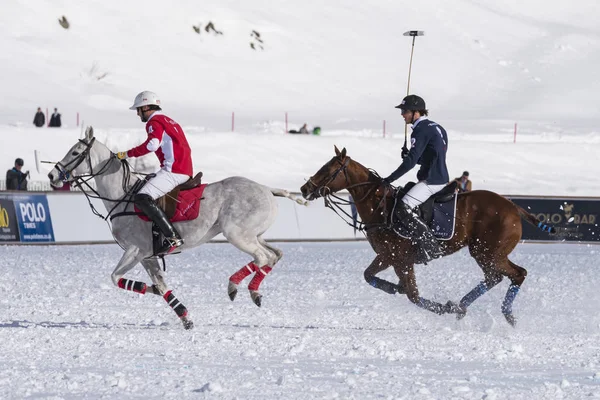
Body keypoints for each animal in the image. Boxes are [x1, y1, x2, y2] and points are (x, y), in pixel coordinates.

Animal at [48, 126, 304, 330]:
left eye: (75, 152)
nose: (52, 175)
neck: (122, 197)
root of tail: (267, 189)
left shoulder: (134, 249)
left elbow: (115, 277)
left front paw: (153, 291)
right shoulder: (147, 255)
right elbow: (161, 287)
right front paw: (184, 317)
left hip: (236, 234)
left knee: (262, 257)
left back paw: (235, 286)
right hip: (254, 234)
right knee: (275, 254)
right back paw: (254, 291)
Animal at [298, 145, 552, 326]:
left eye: (328, 170)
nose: (304, 189)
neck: (379, 206)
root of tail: (513, 206)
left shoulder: (398, 258)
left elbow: (412, 295)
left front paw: (443, 306)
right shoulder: (391, 257)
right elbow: (371, 277)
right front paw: (396, 288)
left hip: (487, 251)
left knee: (516, 274)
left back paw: (500, 314)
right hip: (489, 252)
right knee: (497, 277)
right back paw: (464, 307)